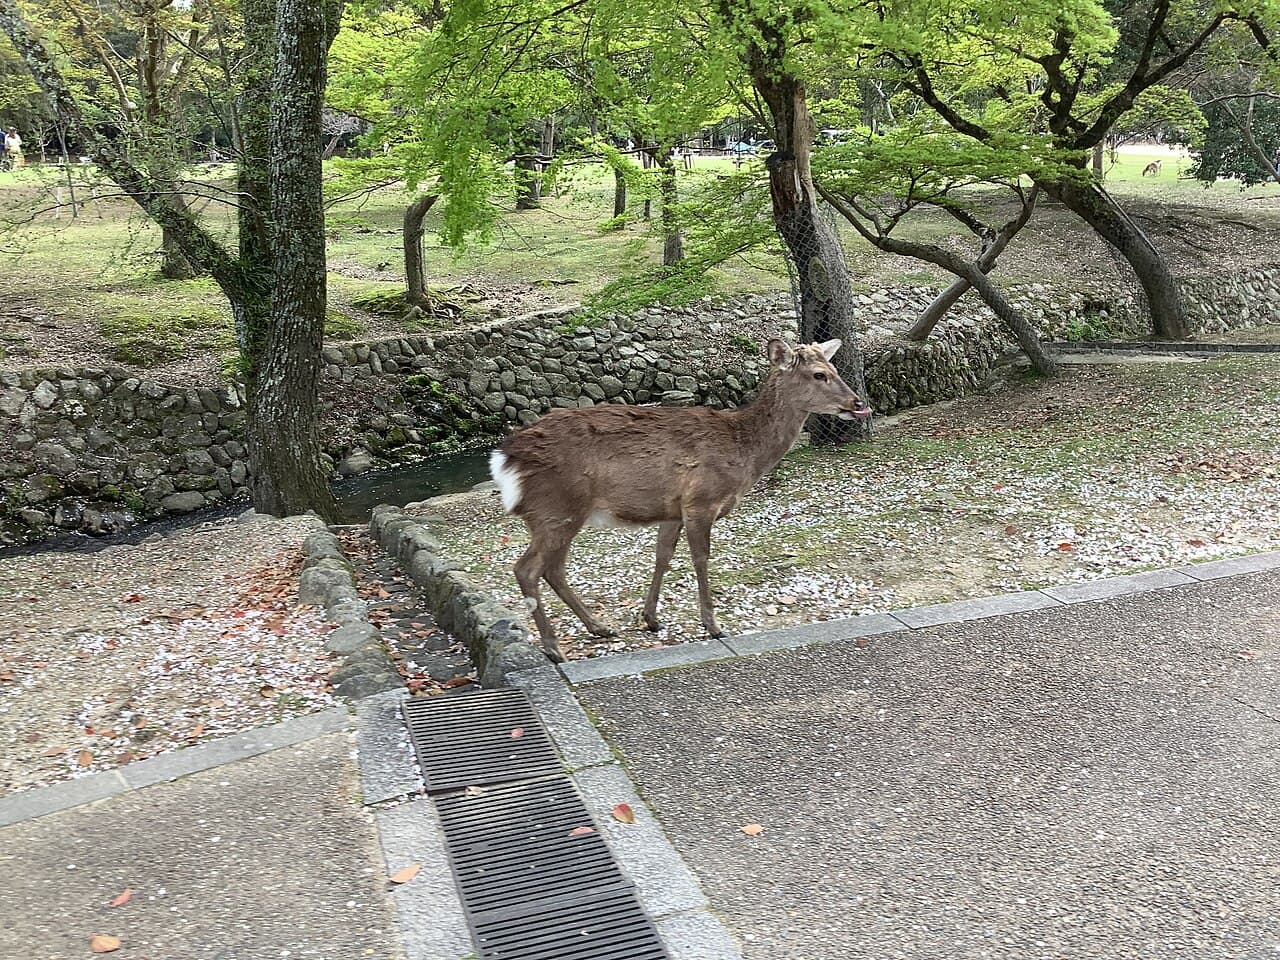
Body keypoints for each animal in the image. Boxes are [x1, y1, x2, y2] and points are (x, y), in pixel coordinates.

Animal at [489, 338, 872, 663]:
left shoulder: (671, 509)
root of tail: (504, 458)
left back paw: (599, 627)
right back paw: (554, 649)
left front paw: (651, 618)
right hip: (557, 508)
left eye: (834, 367)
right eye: (819, 374)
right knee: (527, 569)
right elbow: (701, 559)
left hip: (560, 514)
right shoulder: (701, 500)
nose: (858, 403)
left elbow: (663, 557)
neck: (744, 452)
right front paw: (713, 625)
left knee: (552, 569)